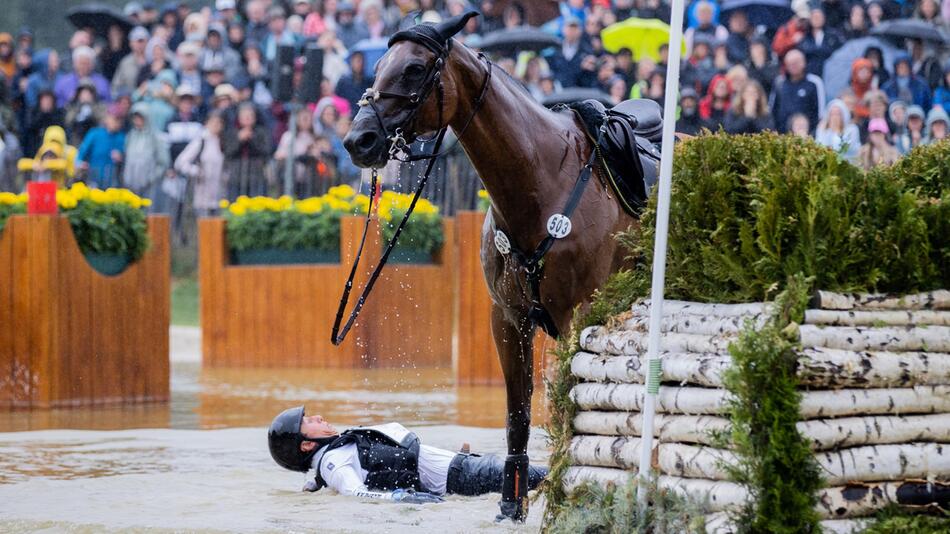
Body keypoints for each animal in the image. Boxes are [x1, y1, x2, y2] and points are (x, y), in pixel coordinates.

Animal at [346, 12, 660, 524]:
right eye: (378, 67)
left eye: (415, 69)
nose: (359, 140)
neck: (542, 180)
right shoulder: (509, 320)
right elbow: (518, 415)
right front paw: (512, 502)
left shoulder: (579, 317)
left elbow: (568, 408)